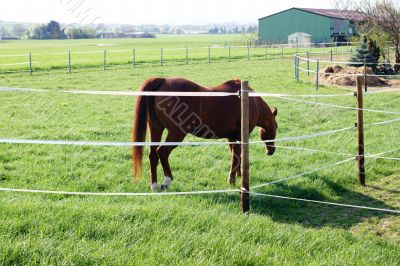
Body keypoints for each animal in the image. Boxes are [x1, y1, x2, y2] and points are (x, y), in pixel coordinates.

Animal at [133, 77, 276, 189]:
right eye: (276, 127)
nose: (271, 150)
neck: (251, 102)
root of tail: (163, 80)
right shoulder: (239, 136)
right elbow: (236, 157)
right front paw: (232, 180)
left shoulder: (231, 137)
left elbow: (236, 156)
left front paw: (239, 175)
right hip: (176, 133)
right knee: (162, 152)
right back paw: (167, 181)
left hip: (156, 128)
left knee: (153, 154)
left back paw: (154, 185)